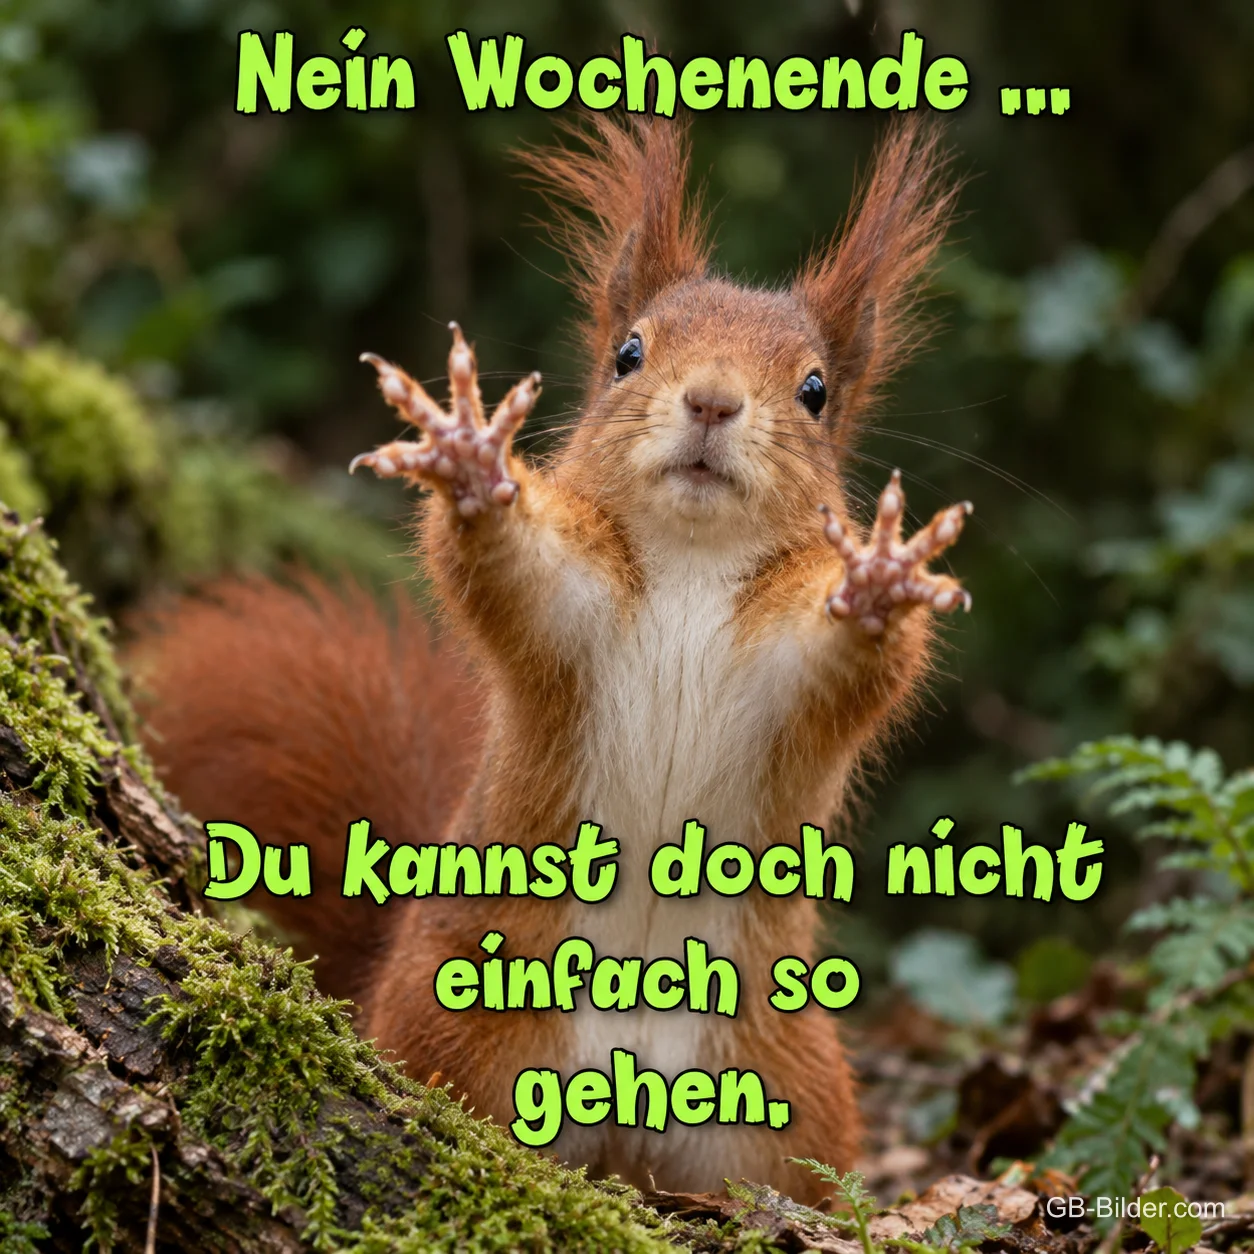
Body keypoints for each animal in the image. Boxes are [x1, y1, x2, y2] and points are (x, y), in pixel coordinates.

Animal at [130, 114, 970, 1203]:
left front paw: (877, 581)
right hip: (457, 1028)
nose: (710, 401)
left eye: (817, 390)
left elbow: (856, 660)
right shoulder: (574, 615)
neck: (692, 564)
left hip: (786, 1100)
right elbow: (512, 572)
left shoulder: (783, 670)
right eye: (628, 354)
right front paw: (470, 460)